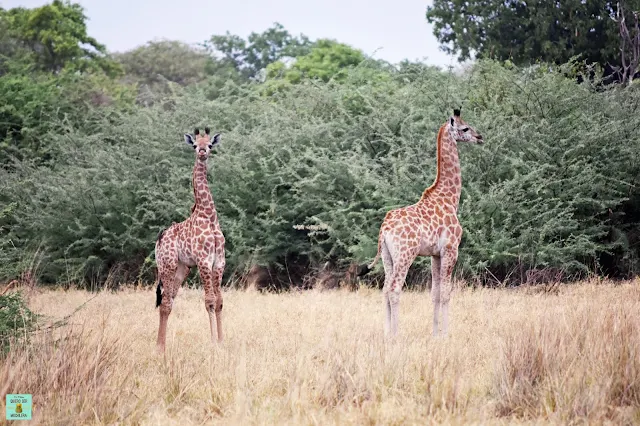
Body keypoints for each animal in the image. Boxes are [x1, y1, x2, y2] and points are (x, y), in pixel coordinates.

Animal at [154, 125, 225, 352]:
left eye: (209, 144)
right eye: (195, 144)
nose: (202, 152)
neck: (208, 215)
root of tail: (159, 239)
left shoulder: (219, 261)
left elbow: (219, 301)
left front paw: (222, 340)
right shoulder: (204, 260)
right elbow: (209, 301)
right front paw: (213, 343)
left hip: (181, 268)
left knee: (168, 301)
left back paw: (161, 345)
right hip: (166, 265)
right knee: (165, 301)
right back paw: (159, 348)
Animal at [368, 108, 482, 338]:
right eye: (465, 128)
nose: (479, 137)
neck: (449, 198)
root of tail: (384, 230)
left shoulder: (434, 254)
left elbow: (435, 293)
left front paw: (435, 333)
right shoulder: (451, 249)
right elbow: (446, 292)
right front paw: (445, 334)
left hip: (387, 256)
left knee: (384, 289)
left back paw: (386, 333)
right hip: (405, 254)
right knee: (394, 289)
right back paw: (395, 335)